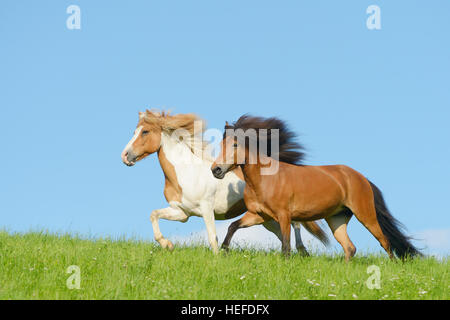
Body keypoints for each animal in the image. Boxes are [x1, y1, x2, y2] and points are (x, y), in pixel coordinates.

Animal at [121, 110, 328, 255]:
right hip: (265, 217)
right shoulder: (181, 213)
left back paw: (302, 251)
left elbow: (212, 237)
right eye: (134, 131)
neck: (185, 174)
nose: (125, 156)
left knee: (296, 224)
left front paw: (218, 259)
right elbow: (154, 215)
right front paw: (168, 245)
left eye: (145, 131)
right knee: (282, 231)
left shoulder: (206, 209)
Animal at [211, 115, 422, 260]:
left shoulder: (284, 216)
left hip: (366, 214)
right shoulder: (258, 215)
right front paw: (224, 251)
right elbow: (232, 226)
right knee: (349, 247)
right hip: (337, 218)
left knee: (384, 242)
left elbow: (286, 246)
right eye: (220, 144)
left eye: (235, 144)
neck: (265, 180)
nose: (216, 170)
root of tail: (361, 178)